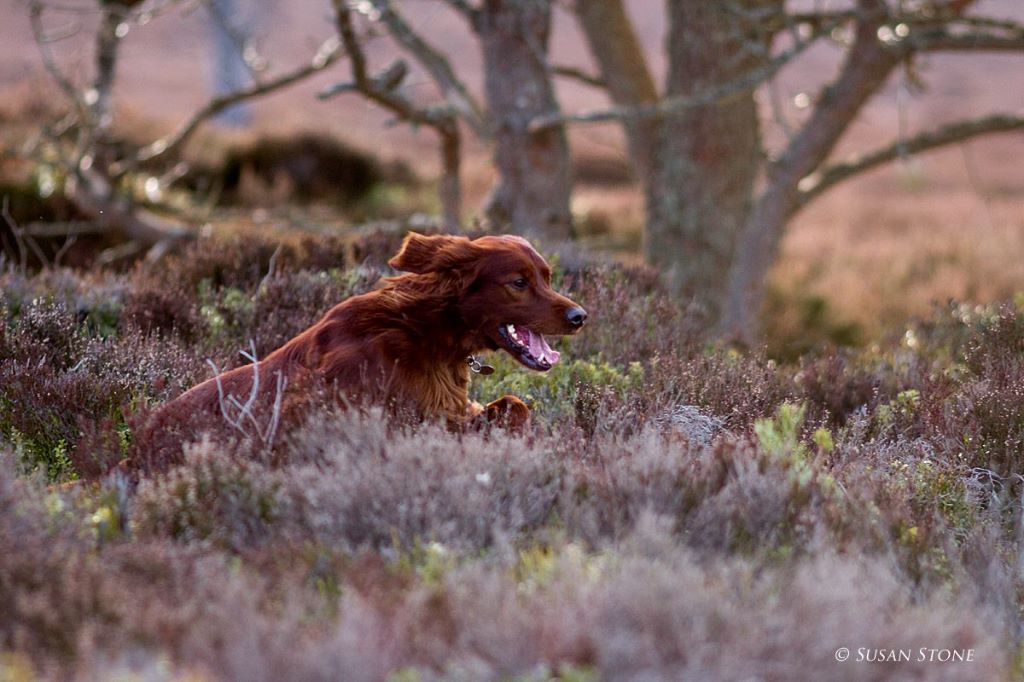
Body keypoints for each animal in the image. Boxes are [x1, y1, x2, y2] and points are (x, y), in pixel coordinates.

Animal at [148, 232, 589, 446]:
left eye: (547, 277)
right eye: (518, 283)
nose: (579, 316)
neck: (425, 330)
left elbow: (516, 406)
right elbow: (513, 408)